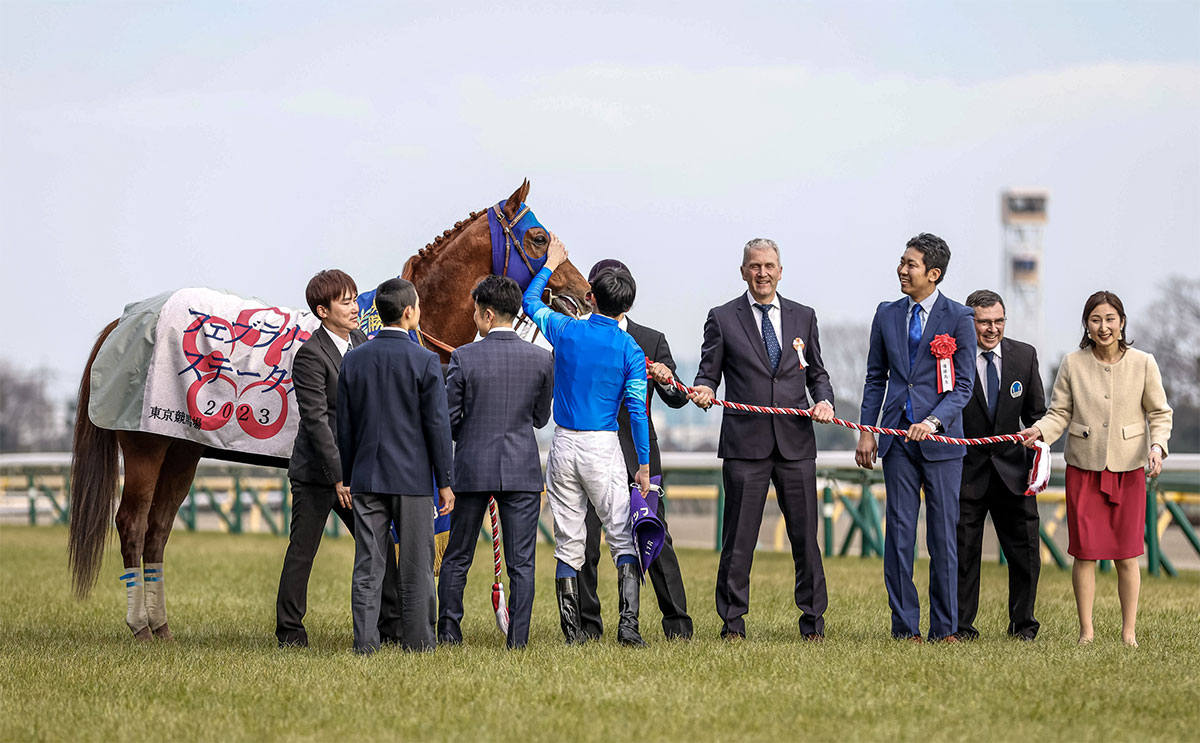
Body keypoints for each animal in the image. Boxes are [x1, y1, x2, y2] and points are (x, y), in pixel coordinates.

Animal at [68, 178, 592, 638]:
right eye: (539, 238)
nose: (585, 295)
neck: (415, 332)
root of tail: (127, 318)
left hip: (181, 449)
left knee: (158, 529)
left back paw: (161, 627)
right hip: (146, 446)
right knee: (133, 525)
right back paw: (140, 625)